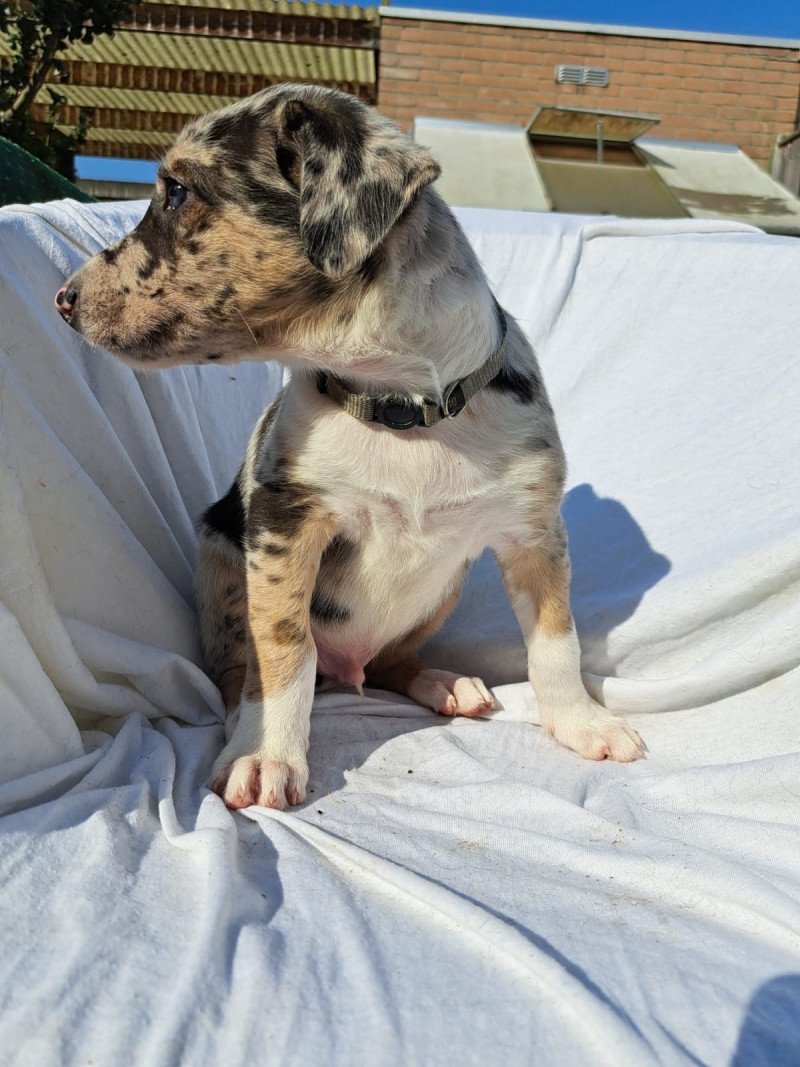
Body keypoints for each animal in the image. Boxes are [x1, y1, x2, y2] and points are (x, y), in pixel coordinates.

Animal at [56, 85, 644, 806]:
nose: (63, 299)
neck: (399, 406)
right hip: (220, 567)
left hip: (439, 596)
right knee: (241, 668)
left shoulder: (535, 531)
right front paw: (265, 755)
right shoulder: (284, 523)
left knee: (392, 661)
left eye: (177, 193)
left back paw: (444, 683)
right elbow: (284, 645)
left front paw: (583, 722)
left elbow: (557, 639)